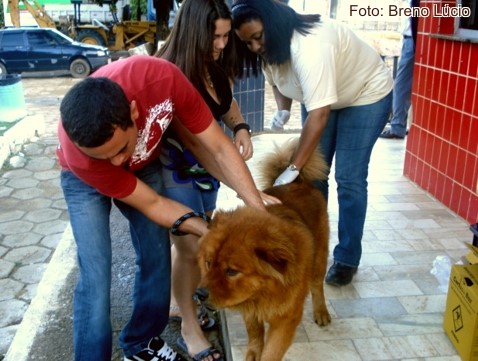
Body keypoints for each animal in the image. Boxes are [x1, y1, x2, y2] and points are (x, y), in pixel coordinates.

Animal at [199, 137, 332, 360]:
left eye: (231, 271)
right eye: (208, 263)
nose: (199, 294)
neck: (264, 293)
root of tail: (297, 182)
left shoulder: (286, 320)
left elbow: (271, 351)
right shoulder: (249, 307)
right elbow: (254, 333)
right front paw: (253, 353)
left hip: (320, 257)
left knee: (317, 285)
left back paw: (321, 312)